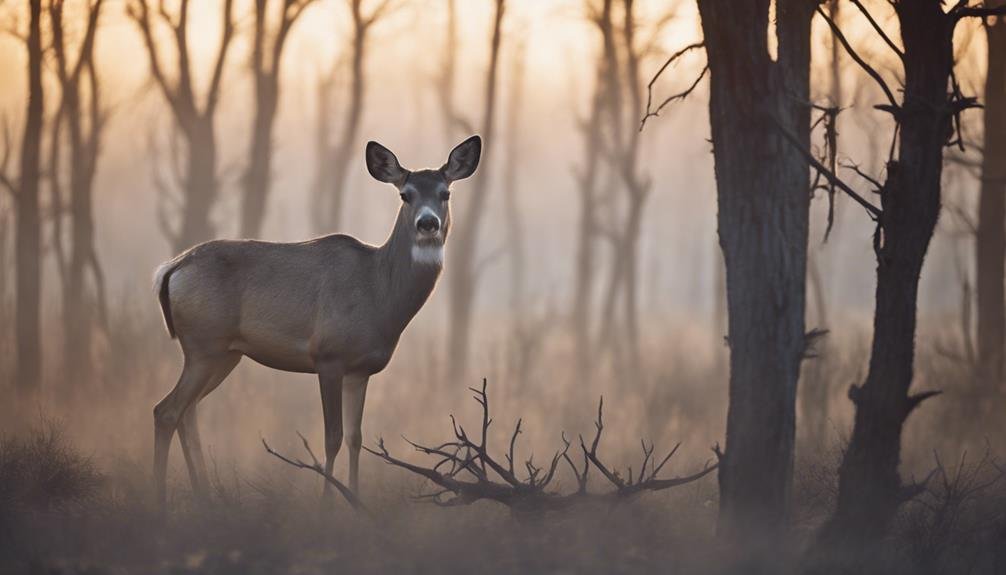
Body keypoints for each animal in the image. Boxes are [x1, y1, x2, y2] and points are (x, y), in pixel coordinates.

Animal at [148, 134, 482, 506]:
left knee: (187, 412)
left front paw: (355, 500)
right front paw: (327, 505)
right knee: (166, 411)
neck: (377, 293)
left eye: (445, 193)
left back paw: (203, 497)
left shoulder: (360, 370)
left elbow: (355, 437)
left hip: (223, 354)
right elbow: (332, 436)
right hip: (204, 345)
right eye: (405, 194)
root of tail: (171, 269)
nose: (427, 223)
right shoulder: (328, 356)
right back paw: (160, 502)